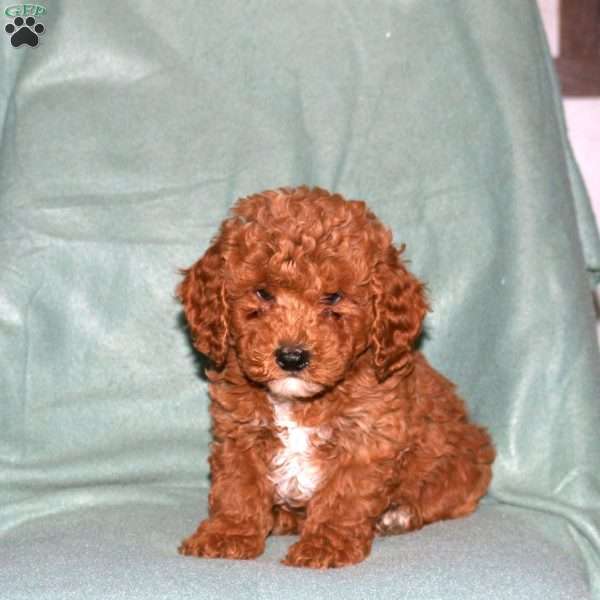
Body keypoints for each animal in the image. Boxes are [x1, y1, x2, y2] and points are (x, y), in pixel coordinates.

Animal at [176, 186, 494, 568]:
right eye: (263, 293)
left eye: (333, 297)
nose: (292, 357)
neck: (300, 401)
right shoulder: (240, 430)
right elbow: (239, 485)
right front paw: (229, 533)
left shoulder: (367, 436)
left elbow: (345, 495)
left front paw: (325, 545)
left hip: (465, 457)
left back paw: (397, 515)